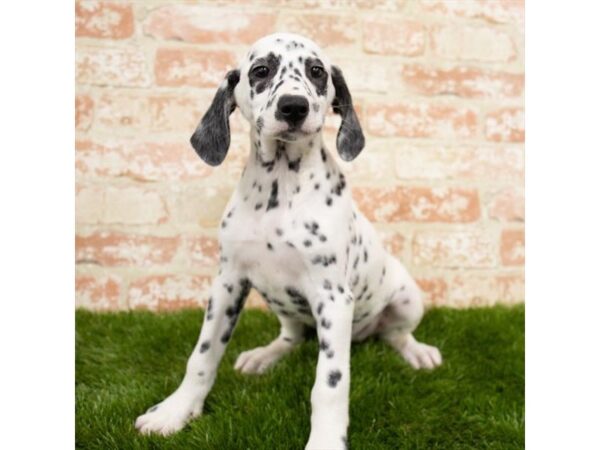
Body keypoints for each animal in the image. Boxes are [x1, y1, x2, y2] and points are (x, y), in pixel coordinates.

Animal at [136, 32, 440, 450]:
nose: (293, 106)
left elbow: (330, 384)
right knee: (291, 336)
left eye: (317, 72)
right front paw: (175, 410)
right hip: (280, 304)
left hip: (407, 298)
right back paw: (265, 355)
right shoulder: (228, 282)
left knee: (395, 335)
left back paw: (416, 351)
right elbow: (202, 355)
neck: (280, 186)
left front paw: (326, 440)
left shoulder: (333, 297)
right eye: (261, 70)